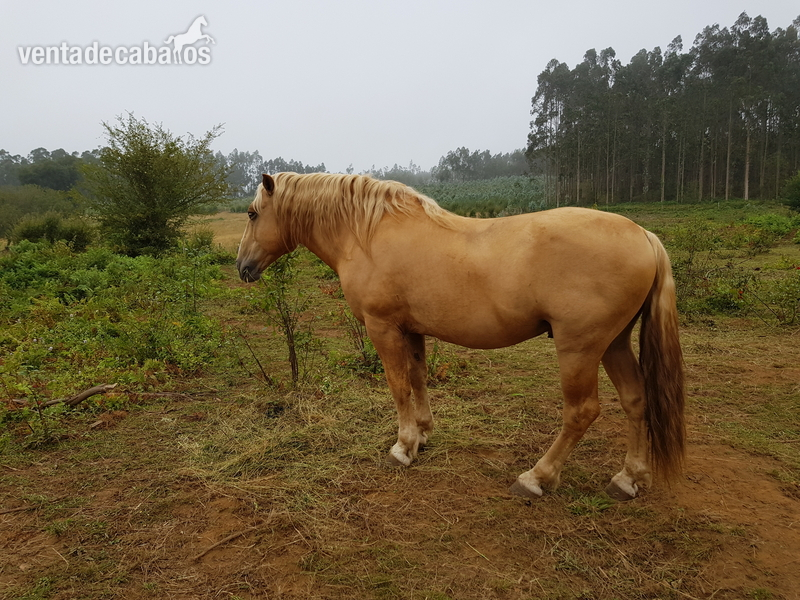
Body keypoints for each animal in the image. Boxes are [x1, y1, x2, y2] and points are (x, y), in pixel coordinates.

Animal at [236, 172, 685, 501]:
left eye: (253, 214)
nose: (243, 267)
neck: (367, 233)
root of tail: (643, 235)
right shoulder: (412, 329)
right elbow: (418, 379)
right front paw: (422, 433)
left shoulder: (383, 328)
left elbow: (398, 385)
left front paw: (402, 447)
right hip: (615, 342)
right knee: (635, 399)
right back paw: (628, 478)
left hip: (580, 347)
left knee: (582, 412)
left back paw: (536, 478)